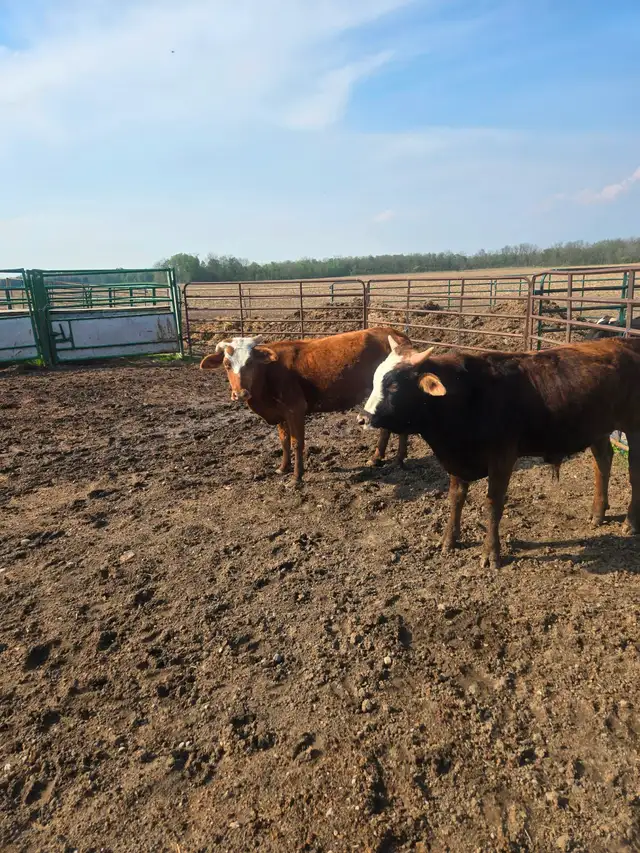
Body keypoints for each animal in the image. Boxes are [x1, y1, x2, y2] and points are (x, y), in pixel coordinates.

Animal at [200, 328, 411, 482]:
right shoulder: (281, 413)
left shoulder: (295, 409)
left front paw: (296, 477)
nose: (241, 393)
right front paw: (282, 468)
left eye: (250, 362)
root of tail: (394, 333)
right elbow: (284, 441)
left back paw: (398, 461)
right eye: (227, 364)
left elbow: (297, 443)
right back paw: (376, 458)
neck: (268, 372)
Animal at [362, 336, 640, 568]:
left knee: (633, 473)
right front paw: (449, 540)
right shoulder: (456, 457)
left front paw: (490, 553)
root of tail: (625, 341)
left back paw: (630, 522)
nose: (363, 418)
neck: (468, 396)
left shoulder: (502, 457)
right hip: (598, 428)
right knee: (603, 462)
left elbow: (493, 503)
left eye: (394, 385)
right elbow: (456, 498)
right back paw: (598, 513)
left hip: (632, 427)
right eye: (375, 378)